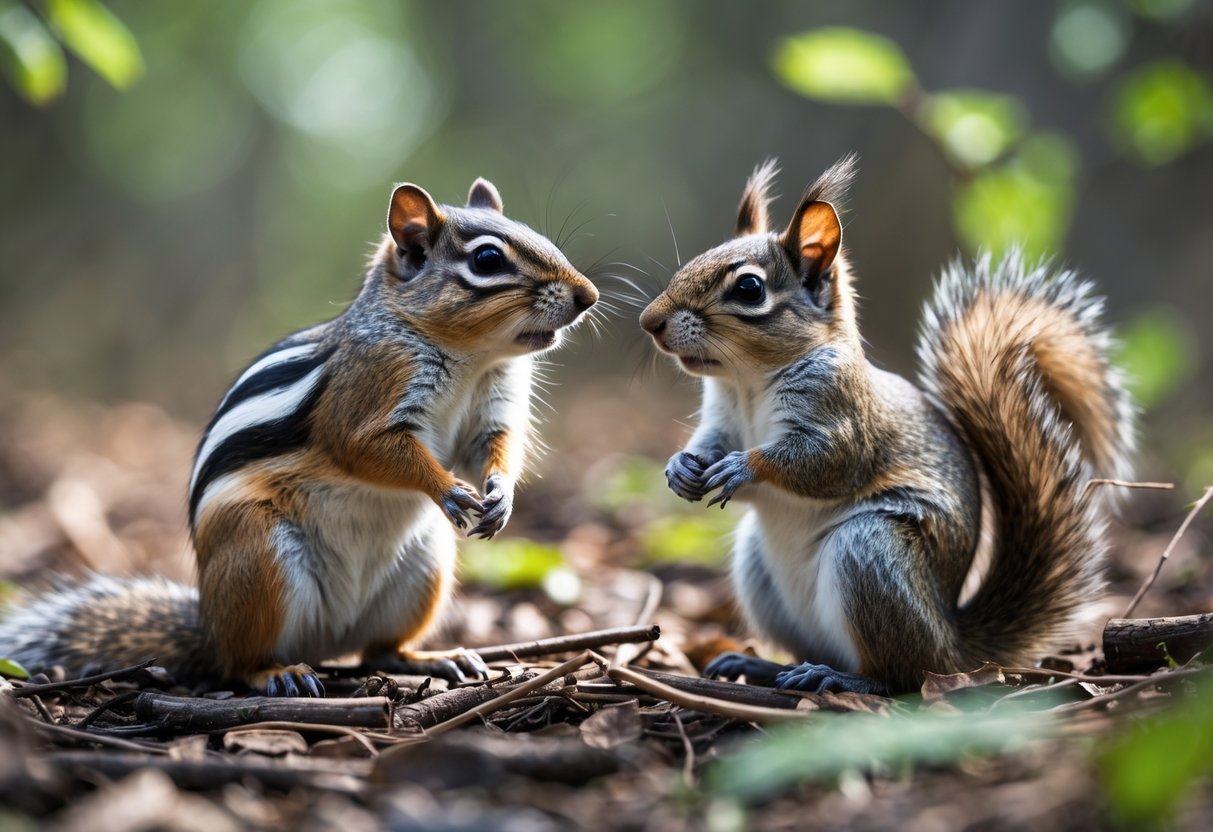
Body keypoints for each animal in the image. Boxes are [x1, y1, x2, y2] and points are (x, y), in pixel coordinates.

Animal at [0, 178, 598, 696]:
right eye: (487, 260)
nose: (588, 296)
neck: (472, 359)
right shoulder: (366, 394)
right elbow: (366, 449)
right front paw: (447, 488)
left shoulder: (494, 405)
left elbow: (493, 447)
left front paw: (501, 495)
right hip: (258, 558)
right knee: (240, 663)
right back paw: (276, 672)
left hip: (423, 570)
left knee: (378, 651)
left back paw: (432, 658)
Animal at [639, 156, 1134, 695]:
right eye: (695, 259)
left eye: (749, 289)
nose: (649, 322)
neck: (747, 381)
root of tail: (954, 648)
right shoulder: (722, 415)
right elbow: (710, 442)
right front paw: (681, 467)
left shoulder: (842, 413)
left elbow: (827, 463)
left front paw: (743, 467)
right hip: (762, 573)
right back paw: (766, 667)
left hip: (870, 554)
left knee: (898, 675)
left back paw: (840, 680)